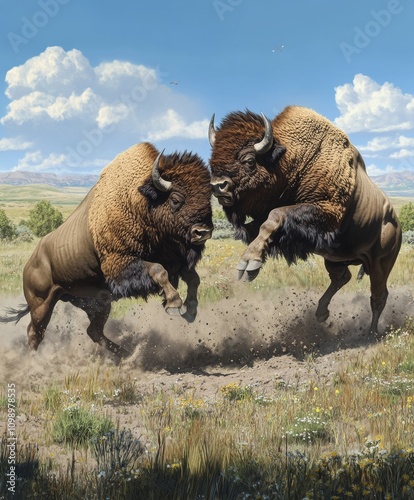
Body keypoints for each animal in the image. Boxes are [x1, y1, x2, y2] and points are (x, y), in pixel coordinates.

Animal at [0, 143, 213, 358]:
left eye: (208, 197)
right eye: (176, 199)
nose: (202, 232)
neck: (140, 202)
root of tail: (29, 264)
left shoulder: (177, 263)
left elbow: (193, 278)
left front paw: (190, 311)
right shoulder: (121, 265)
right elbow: (158, 271)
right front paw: (174, 303)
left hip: (97, 301)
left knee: (93, 331)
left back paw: (128, 355)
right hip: (42, 304)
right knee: (35, 332)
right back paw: (35, 360)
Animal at [210, 105, 402, 334]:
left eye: (249, 160)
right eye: (212, 161)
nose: (218, 186)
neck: (292, 160)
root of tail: (398, 226)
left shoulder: (326, 212)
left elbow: (274, 217)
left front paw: (249, 264)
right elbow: (261, 226)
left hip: (381, 262)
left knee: (378, 296)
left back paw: (370, 332)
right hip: (335, 258)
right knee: (342, 277)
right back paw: (321, 313)